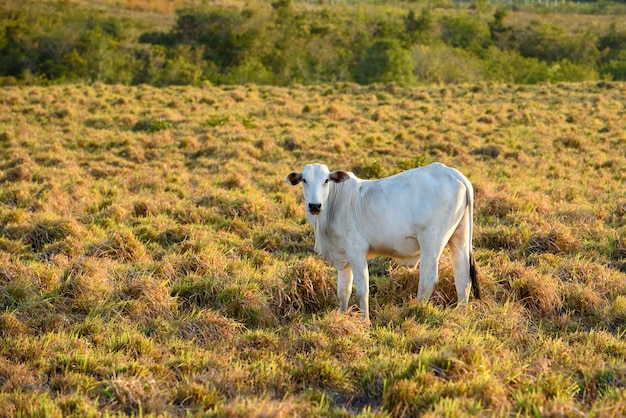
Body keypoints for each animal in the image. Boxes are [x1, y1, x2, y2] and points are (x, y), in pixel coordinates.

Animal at [286, 162, 480, 322]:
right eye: (304, 180)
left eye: (326, 180)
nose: (314, 205)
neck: (335, 204)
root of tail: (452, 173)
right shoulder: (343, 259)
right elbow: (343, 292)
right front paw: (341, 317)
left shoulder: (357, 252)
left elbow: (362, 289)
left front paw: (364, 321)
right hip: (460, 238)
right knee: (463, 278)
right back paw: (460, 314)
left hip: (431, 243)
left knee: (428, 280)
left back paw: (415, 311)